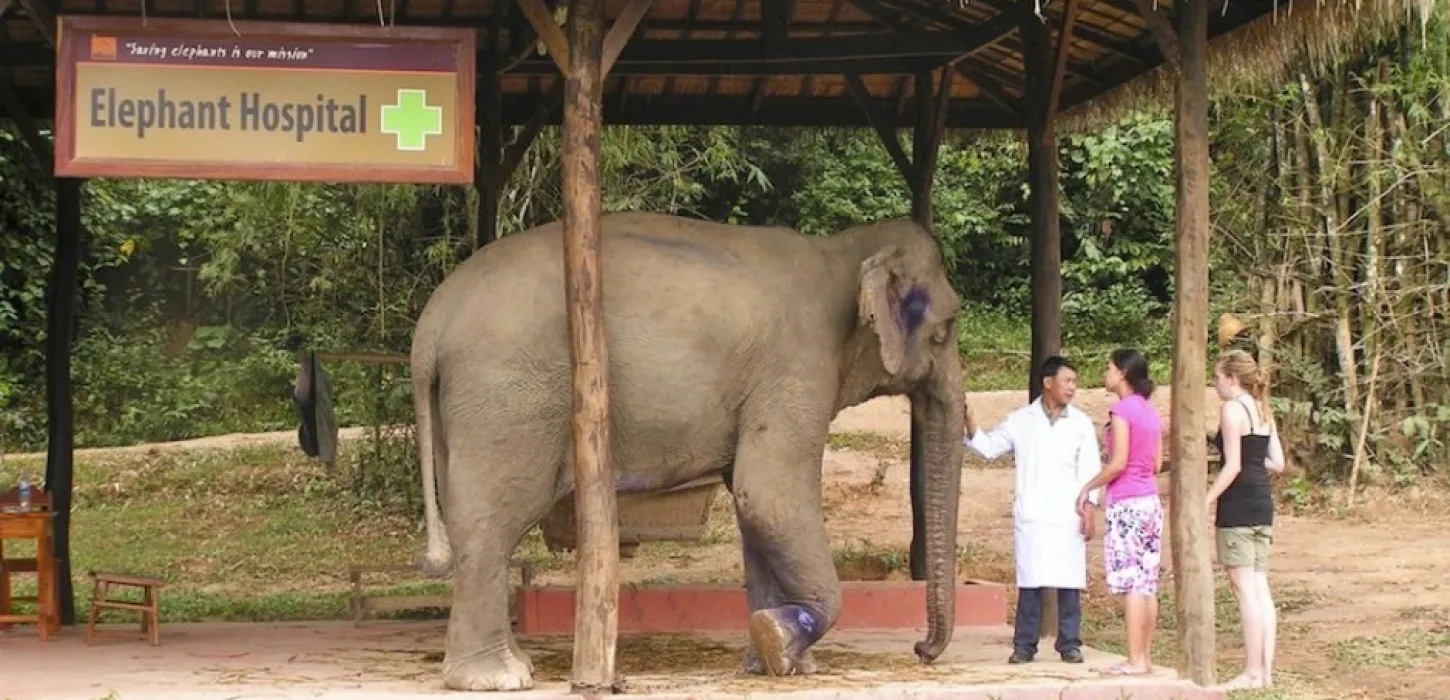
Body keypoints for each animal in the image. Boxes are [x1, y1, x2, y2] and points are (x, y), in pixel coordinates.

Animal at [410, 212, 965, 691]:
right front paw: (780, 644)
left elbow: (752, 505)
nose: (921, 650)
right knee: (492, 522)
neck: (842, 248)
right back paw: (499, 678)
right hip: (507, 396)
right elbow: (768, 497)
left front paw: (777, 662)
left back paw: (510, 665)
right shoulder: (797, 365)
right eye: (946, 328)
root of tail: (430, 326)